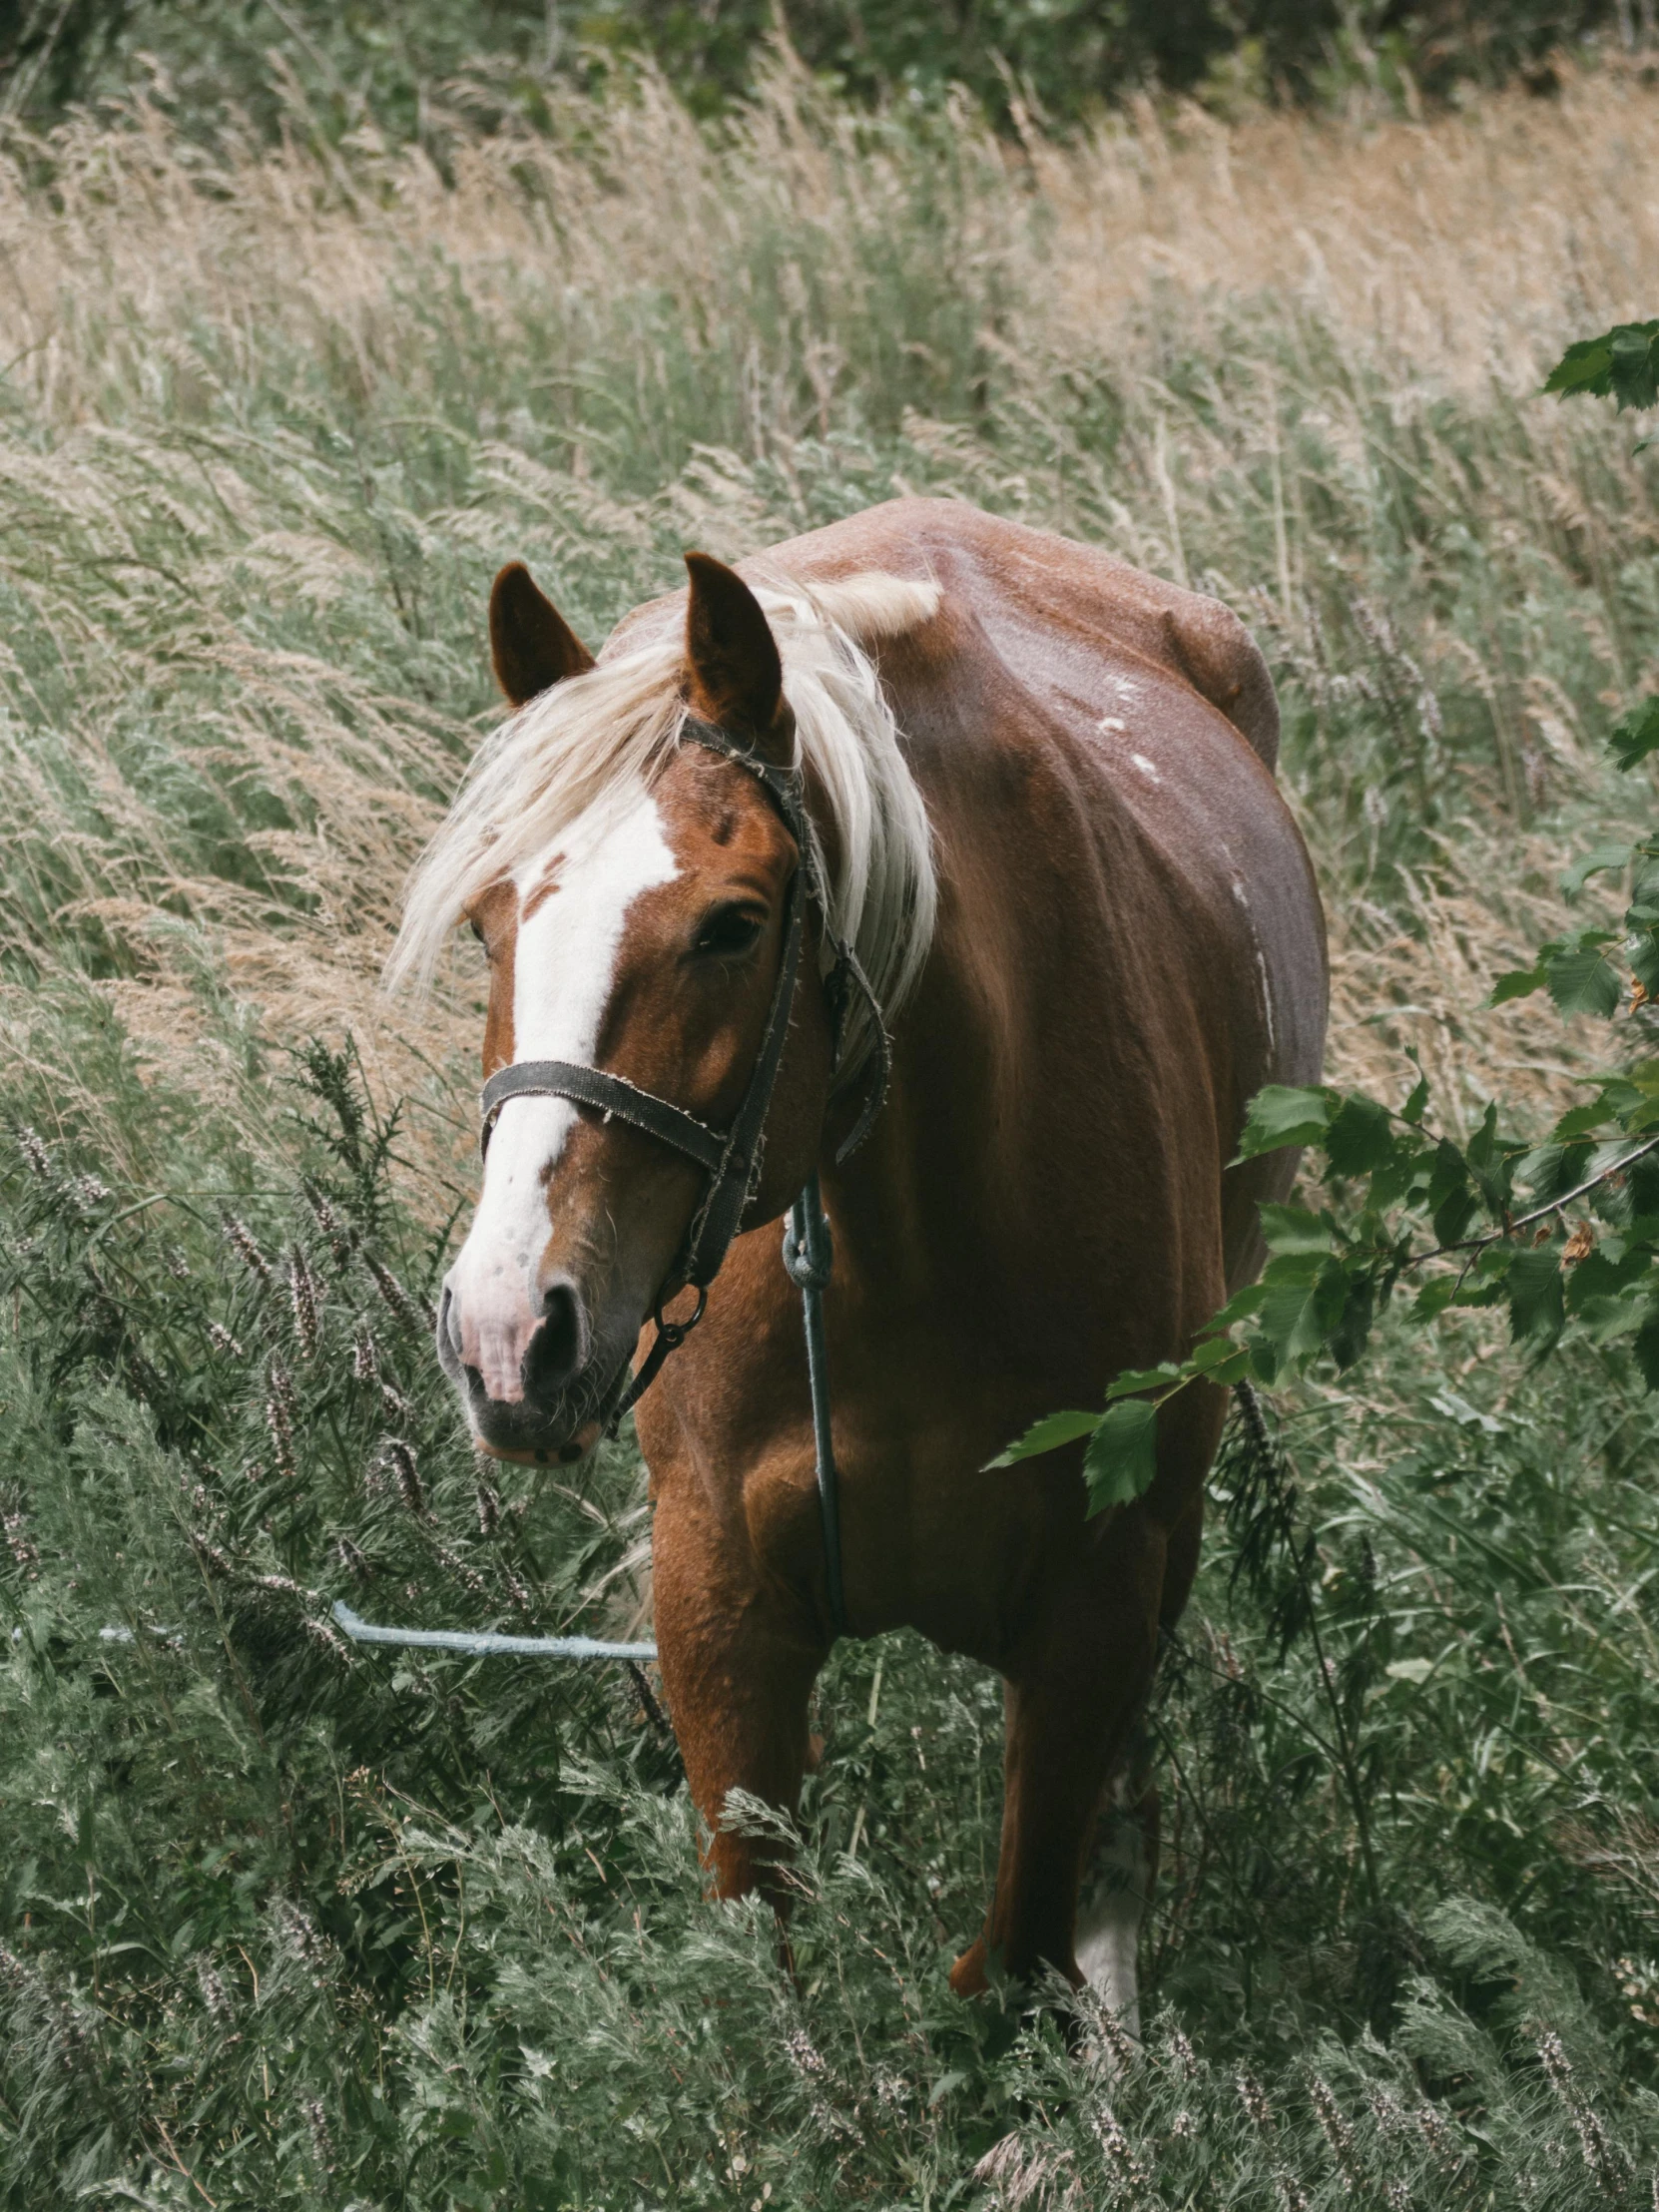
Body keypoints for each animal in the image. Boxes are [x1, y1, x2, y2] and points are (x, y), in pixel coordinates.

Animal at [389, 502, 1327, 2025]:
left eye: (733, 924)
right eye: (487, 925)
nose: (506, 1333)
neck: (905, 1242)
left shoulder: (1094, 1608)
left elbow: (1015, 1955)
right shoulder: (718, 1613)